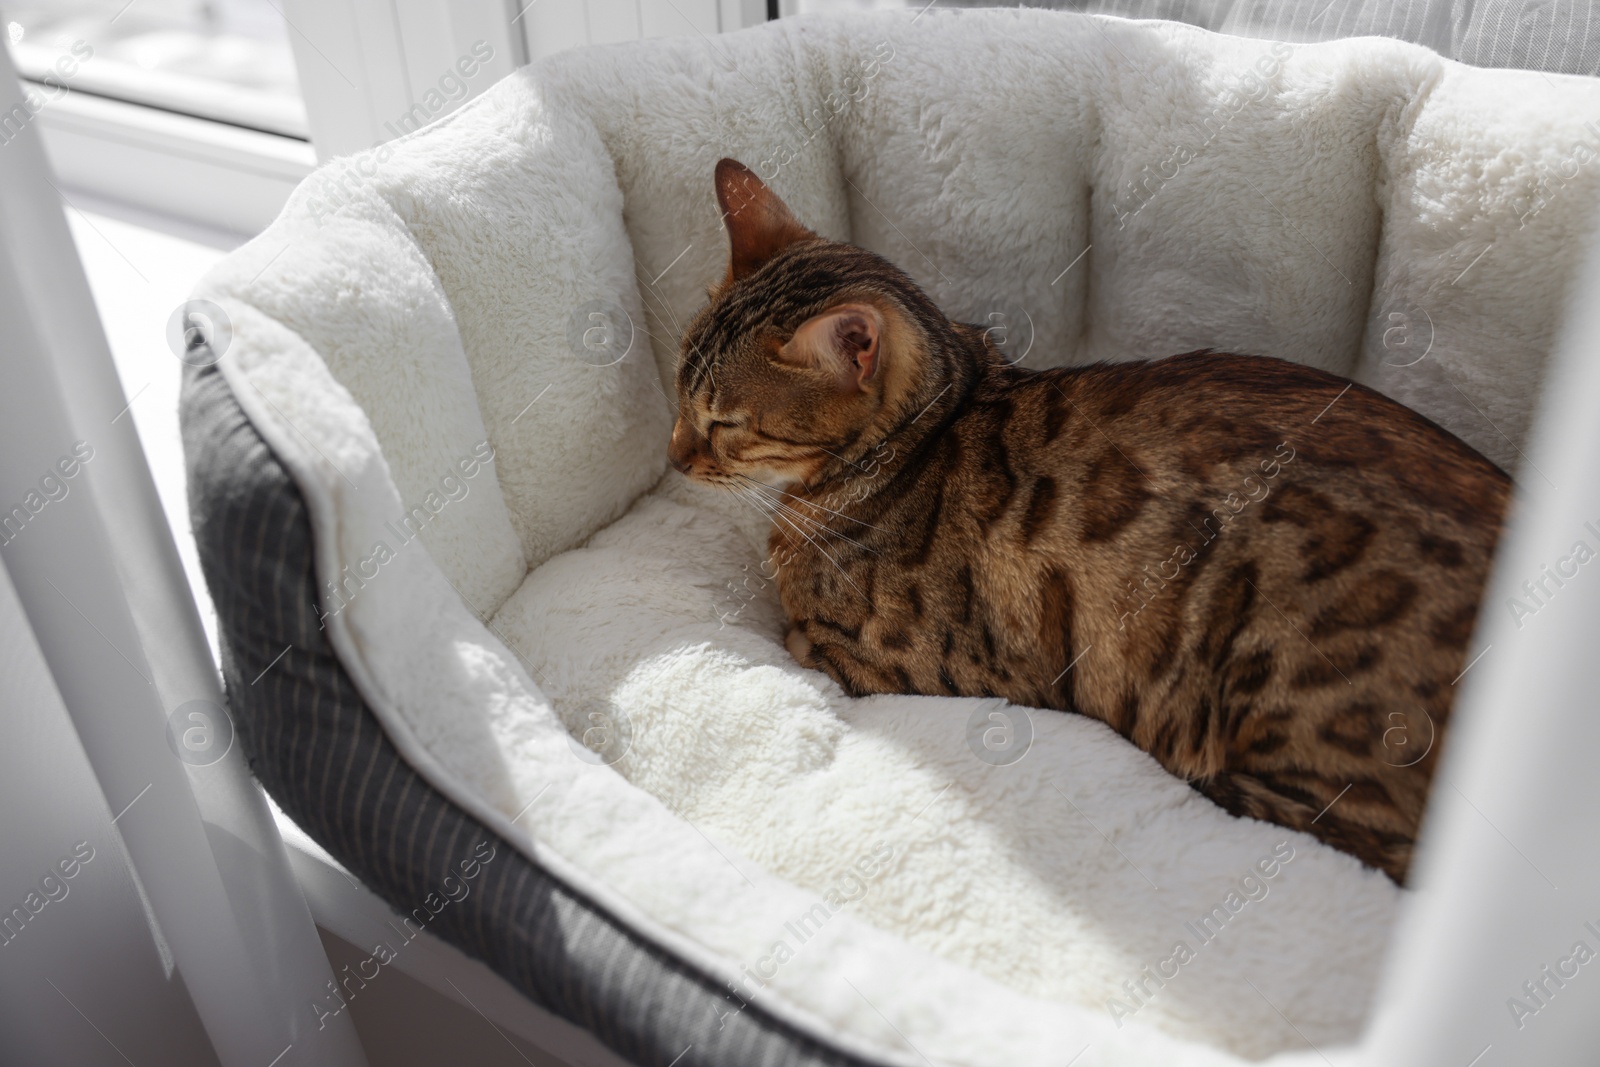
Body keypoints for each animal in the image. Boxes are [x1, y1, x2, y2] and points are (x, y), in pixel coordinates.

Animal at [672, 154, 1510, 883]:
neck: (933, 423)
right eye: (679, 392)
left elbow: (800, 635)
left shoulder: (919, 666)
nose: (675, 456)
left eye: (727, 424)